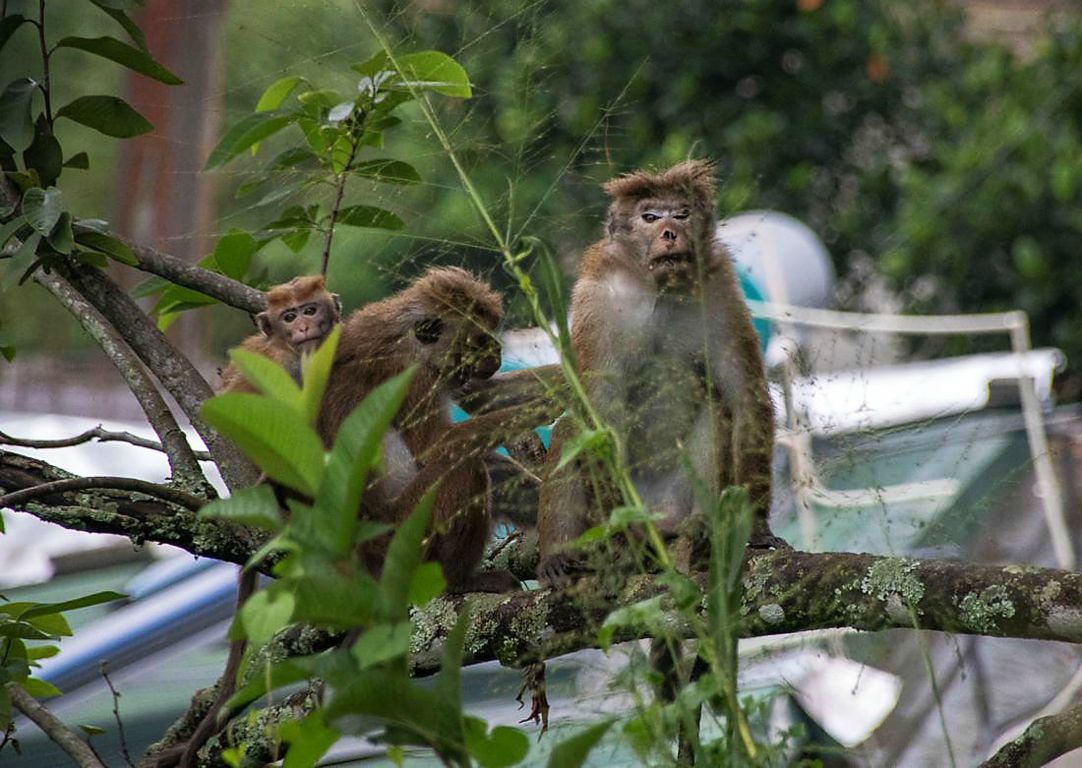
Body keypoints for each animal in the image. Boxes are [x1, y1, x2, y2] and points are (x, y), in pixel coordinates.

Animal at [536, 161, 783, 584]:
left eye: (681, 214)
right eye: (649, 217)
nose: (669, 232)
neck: (659, 289)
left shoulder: (720, 292)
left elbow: (743, 398)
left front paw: (755, 526)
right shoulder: (596, 304)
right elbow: (599, 417)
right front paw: (617, 541)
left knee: (714, 407)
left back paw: (699, 525)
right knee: (572, 430)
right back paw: (561, 555)